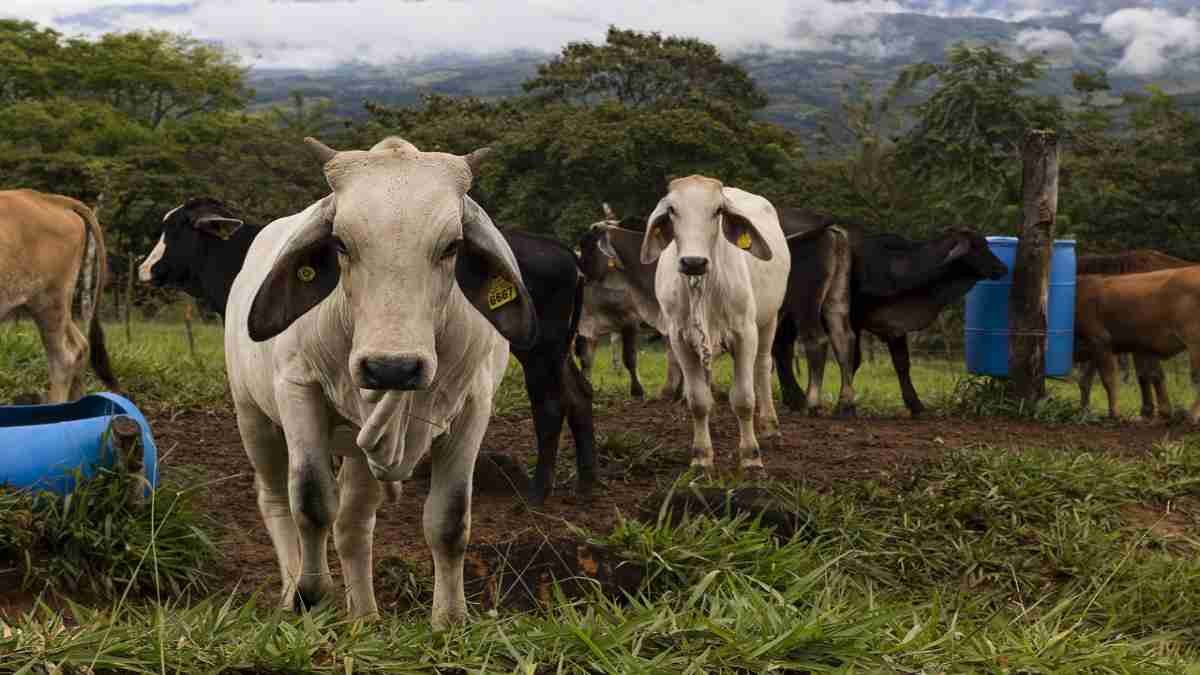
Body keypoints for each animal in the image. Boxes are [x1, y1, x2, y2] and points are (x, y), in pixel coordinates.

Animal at [144, 196, 595, 502]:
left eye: (177, 228)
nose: (146, 269)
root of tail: (567, 255)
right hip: (558, 352)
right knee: (580, 395)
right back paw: (588, 483)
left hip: (540, 353)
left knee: (551, 404)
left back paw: (538, 490)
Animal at [772, 207, 1008, 415]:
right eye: (977, 246)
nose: (1003, 268)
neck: (887, 265)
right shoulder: (856, 317)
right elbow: (856, 358)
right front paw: (844, 402)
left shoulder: (895, 326)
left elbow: (902, 363)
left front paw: (915, 405)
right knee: (784, 348)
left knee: (783, 348)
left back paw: (794, 399)